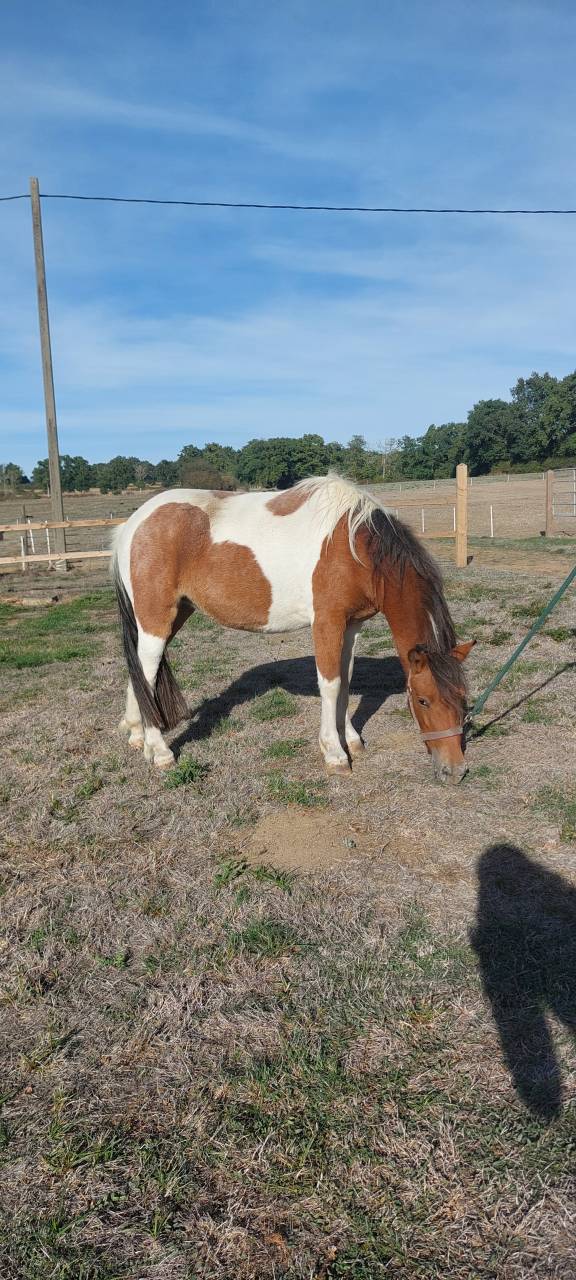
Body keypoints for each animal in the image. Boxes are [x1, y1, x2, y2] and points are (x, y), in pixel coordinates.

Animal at [112, 474, 474, 782]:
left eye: (463, 696)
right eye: (423, 700)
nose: (454, 770)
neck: (355, 547)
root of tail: (132, 525)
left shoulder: (351, 626)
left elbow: (346, 681)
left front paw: (351, 739)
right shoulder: (327, 622)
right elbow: (330, 684)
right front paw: (334, 753)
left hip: (175, 616)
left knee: (142, 671)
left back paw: (137, 734)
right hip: (156, 621)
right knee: (147, 672)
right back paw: (160, 751)